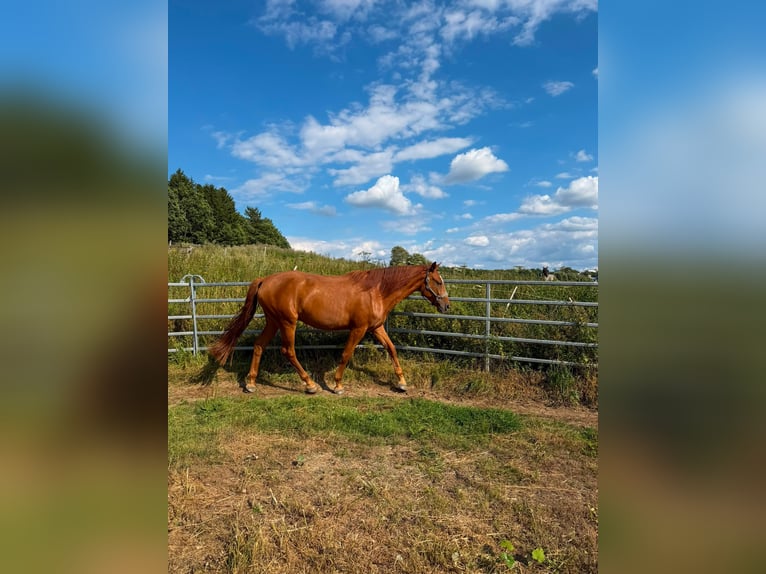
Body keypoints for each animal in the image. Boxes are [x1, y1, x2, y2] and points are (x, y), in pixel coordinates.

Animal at [208, 262, 450, 395]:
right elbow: (345, 354)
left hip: (273, 321)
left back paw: (250, 383)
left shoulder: (377, 328)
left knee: (259, 346)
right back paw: (310, 385)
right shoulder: (358, 329)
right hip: (287, 323)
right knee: (288, 351)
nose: (446, 305)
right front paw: (337, 385)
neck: (377, 291)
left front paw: (401, 383)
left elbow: (391, 349)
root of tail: (265, 279)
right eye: (438, 281)